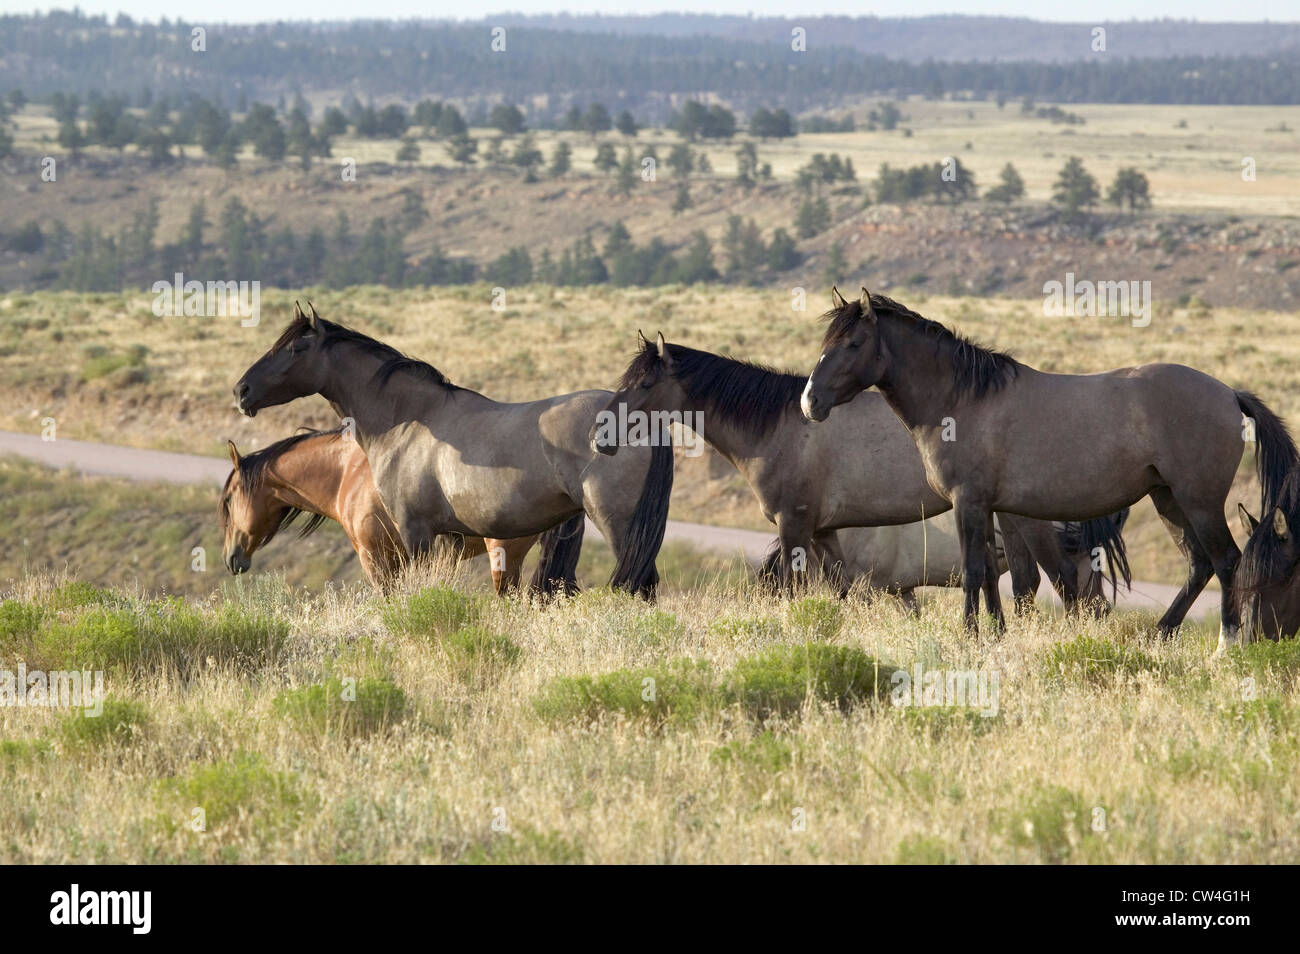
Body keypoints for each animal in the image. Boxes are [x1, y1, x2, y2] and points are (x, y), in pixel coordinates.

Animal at [801, 288, 1297, 649]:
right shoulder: (989, 507)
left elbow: (974, 571)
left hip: (1200, 501)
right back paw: (1159, 636)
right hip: (1169, 500)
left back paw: (1227, 646)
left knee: (1227, 562)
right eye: (824, 343)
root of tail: (1229, 393)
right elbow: (992, 573)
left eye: (854, 344)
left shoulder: (968, 502)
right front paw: (996, 635)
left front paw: (969, 637)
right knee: (1199, 566)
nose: (810, 402)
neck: (961, 399)